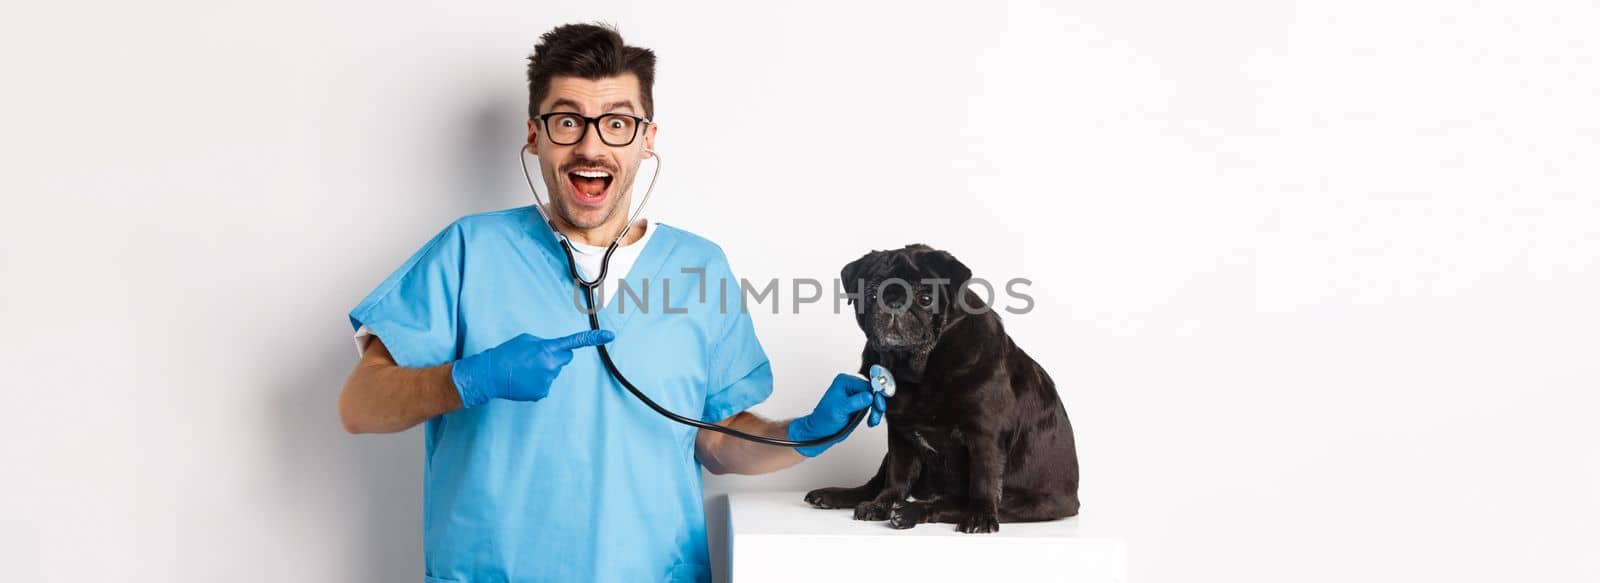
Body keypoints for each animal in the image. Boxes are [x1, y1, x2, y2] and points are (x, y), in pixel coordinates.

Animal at [806, 245, 1081, 531]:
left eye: (925, 298)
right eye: (870, 295)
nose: (893, 304)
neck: (919, 369)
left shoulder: (985, 434)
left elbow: (983, 480)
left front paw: (981, 517)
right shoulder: (900, 435)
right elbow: (896, 477)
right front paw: (882, 504)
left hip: (1028, 501)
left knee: (953, 503)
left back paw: (911, 511)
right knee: (877, 484)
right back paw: (839, 496)